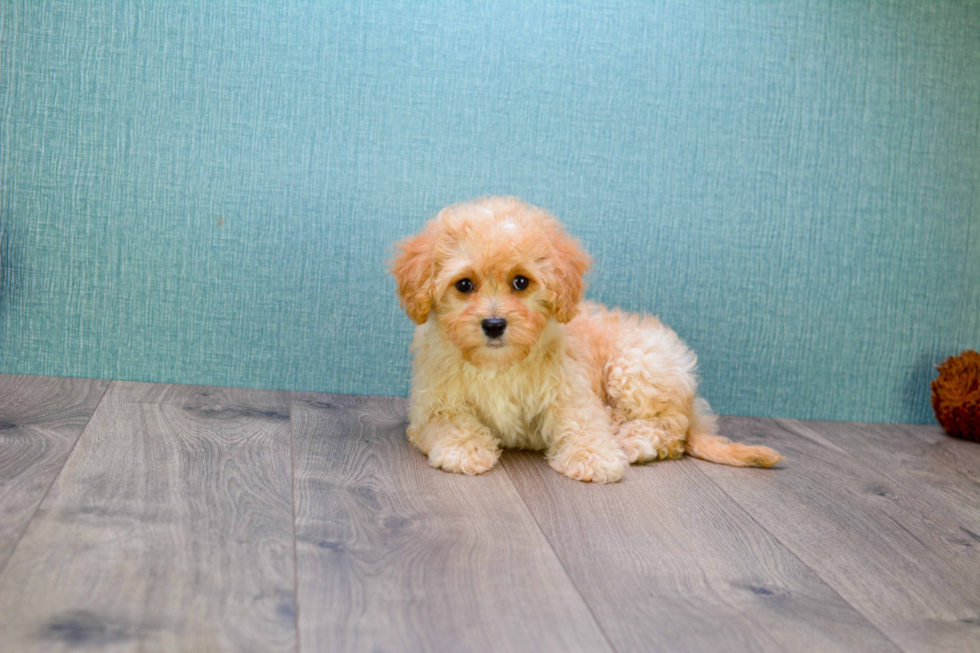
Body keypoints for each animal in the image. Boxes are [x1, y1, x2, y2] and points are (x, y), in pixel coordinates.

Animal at [390, 196, 780, 482]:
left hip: (638, 366)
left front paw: (592, 457)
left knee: (671, 428)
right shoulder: (433, 404)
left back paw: (632, 441)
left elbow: (582, 422)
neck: (499, 365)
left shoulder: (570, 392)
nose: (494, 324)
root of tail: (693, 401)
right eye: (464, 285)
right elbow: (451, 422)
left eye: (521, 282)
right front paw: (465, 449)